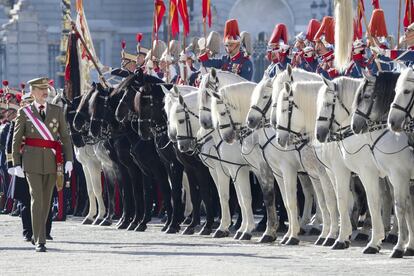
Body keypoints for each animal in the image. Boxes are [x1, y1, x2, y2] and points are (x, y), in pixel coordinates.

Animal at [350, 70, 414, 256]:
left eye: (366, 96)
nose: (354, 126)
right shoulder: (397, 177)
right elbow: (407, 207)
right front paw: (408, 245)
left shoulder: (399, 175)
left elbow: (399, 207)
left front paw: (399, 246)